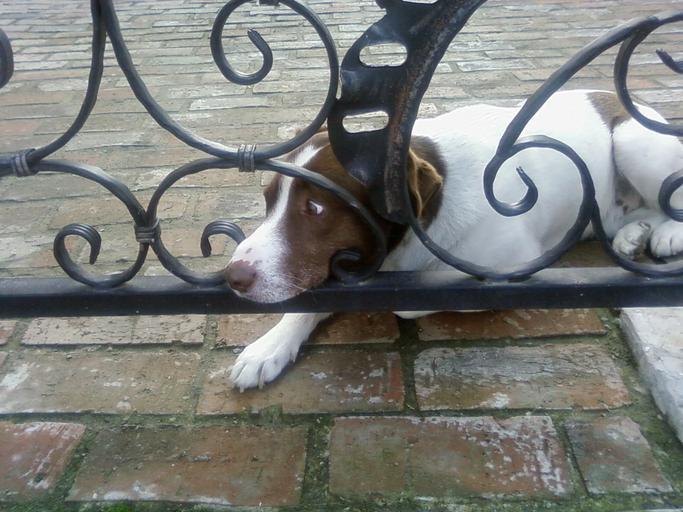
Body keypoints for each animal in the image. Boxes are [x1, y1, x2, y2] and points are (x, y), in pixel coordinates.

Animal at [224, 89, 683, 391]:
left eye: (316, 208)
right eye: (268, 201)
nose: (232, 277)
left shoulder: (513, 268)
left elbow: (411, 302)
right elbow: (307, 302)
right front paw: (268, 346)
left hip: (632, 141)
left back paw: (665, 233)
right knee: (635, 212)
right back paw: (632, 235)